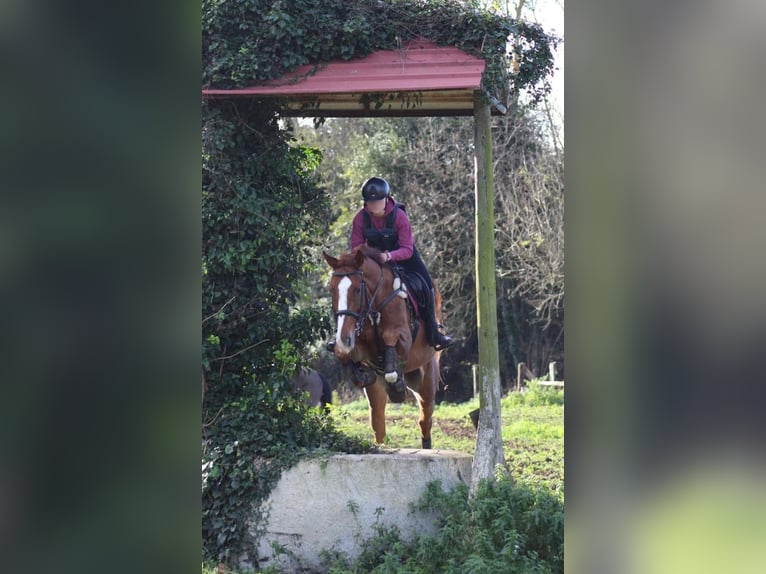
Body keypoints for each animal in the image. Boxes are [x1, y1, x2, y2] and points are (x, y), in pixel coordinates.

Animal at [324, 244, 444, 450]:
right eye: (332, 290)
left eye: (357, 289)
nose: (343, 339)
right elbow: (350, 355)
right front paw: (357, 368)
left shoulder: (403, 337)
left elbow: (390, 338)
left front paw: (394, 379)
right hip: (378, 393)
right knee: (378, 422)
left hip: (426, 380)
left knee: (425, 421)